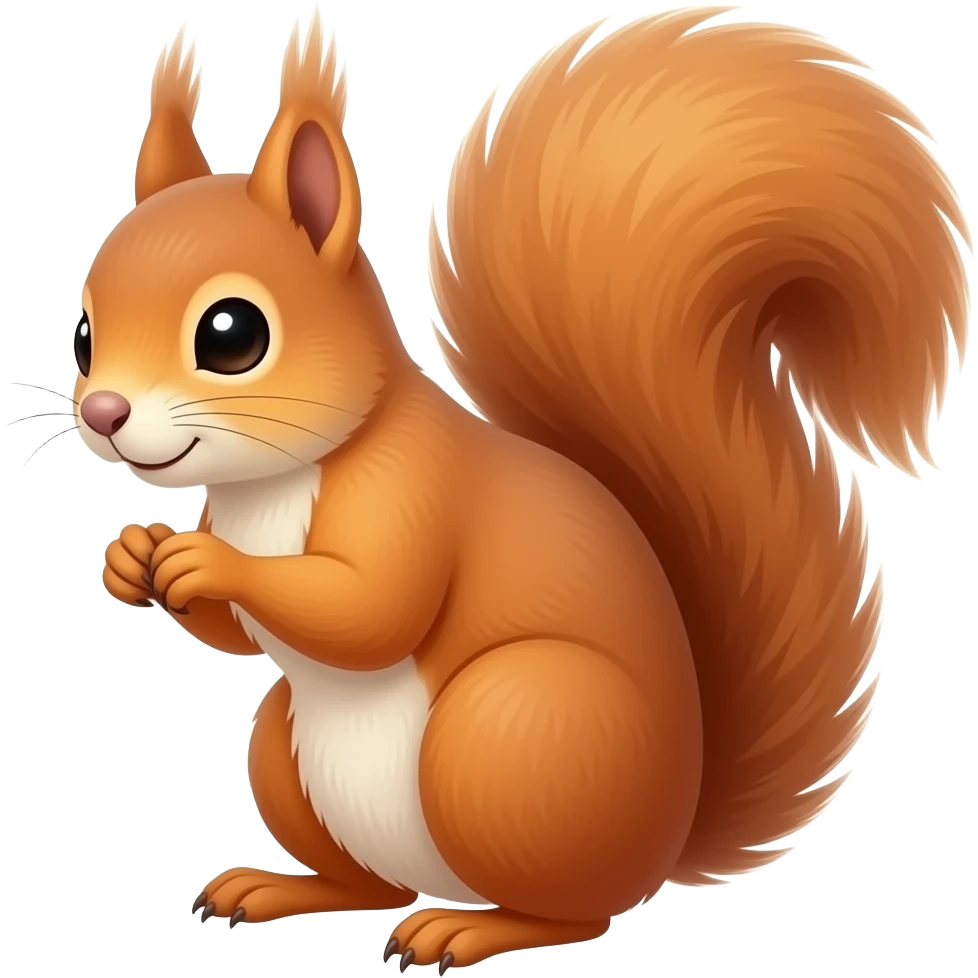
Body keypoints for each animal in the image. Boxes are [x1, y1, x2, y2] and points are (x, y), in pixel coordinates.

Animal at [78, 5, 970, 971]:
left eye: (232, 334)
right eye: (85, 335)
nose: (101, 411)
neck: (270, 484)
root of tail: (664, 842)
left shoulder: (411, 490)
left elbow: (372, 608)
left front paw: (205, 565)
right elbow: (243, 642)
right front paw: (132, 556)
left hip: (510, 732)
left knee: (575, 913)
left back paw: (467, 928)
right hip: (289, 749)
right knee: (369, 883)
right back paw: (282, 888)